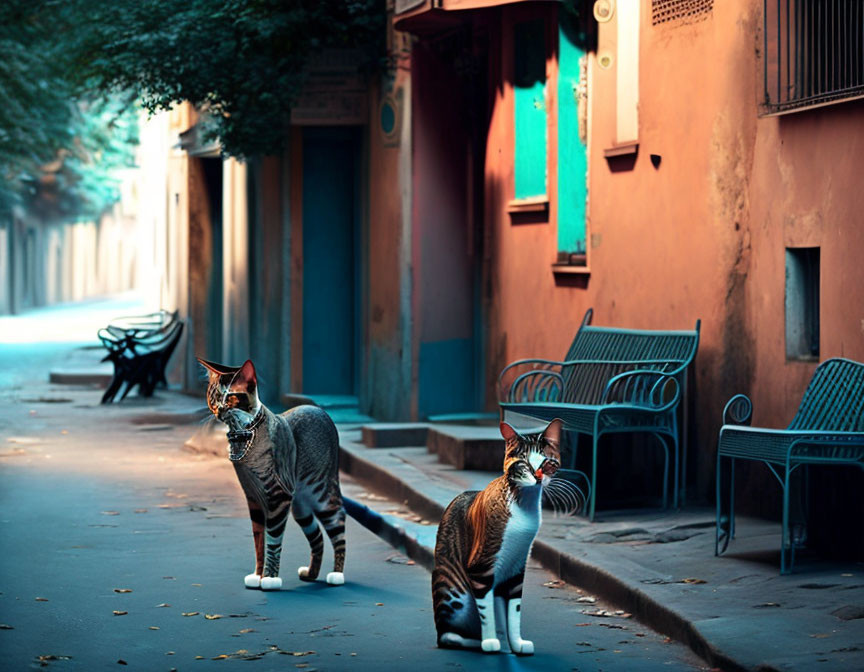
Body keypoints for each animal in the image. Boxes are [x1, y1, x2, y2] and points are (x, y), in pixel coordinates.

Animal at [201, 360, 346, 592]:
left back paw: (337, 574)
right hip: (301, 508)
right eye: (213, 397)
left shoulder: (278, 496)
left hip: (321, 494)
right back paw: (311, 573)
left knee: (338, 522)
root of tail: (319, 410)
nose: (219, 410)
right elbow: (259, 541)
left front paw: (269, 578)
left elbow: (273, 541)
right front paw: (257, 576)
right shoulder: (253, 499)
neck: (244, 434)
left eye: (230, 397)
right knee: (317, 536)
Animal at [432, 420, 568, 656]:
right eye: (523, 464)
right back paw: (476, 642)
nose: (538, 477)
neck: (524, 505)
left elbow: (515, 611)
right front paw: (490, 641)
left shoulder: (517, 568)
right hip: (455, 594)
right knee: (447, 636)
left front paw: (517, 643)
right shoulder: (481, 568)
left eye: (547, 462)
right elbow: (486, 612)